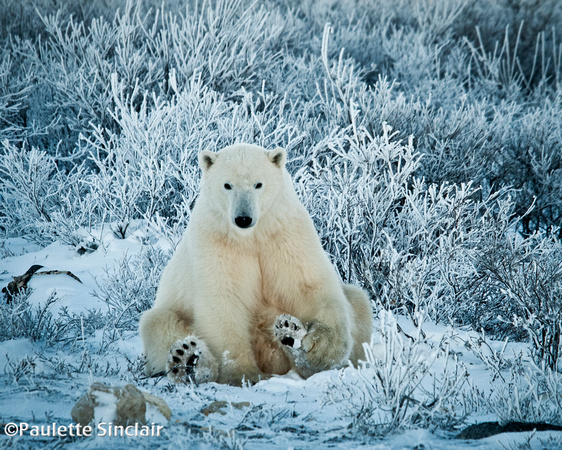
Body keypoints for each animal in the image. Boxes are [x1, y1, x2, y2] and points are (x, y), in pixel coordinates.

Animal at [137, 142, 370, 384]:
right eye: (227, 185)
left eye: (258, 184)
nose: (243, 218)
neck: (252, 237)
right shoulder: (217, 242)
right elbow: (224, 300)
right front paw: (244, 373)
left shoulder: (285, 233)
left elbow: (308, 284)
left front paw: (321, 349)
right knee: (158, 323)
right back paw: (189, 359)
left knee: (358, 299)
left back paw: (291, 336)